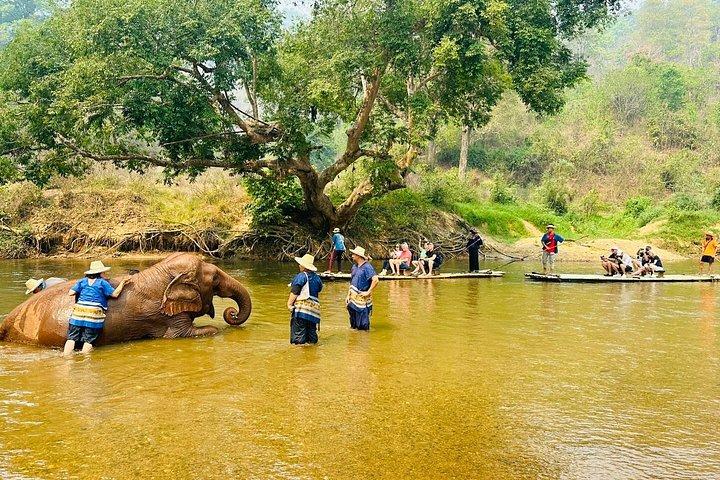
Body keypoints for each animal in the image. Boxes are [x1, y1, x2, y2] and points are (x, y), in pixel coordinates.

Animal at [0, 253, 252, 348]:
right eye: (215, 279)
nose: (230, 313)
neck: (160, 271)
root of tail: (6, 321)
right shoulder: (168, 316)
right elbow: (186, 334)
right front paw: (215, 328)